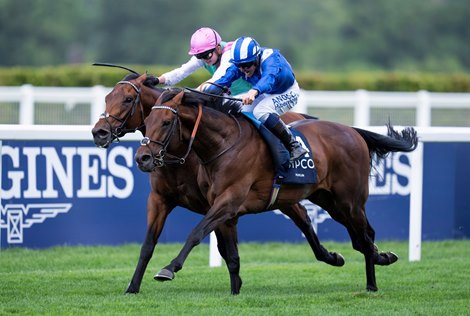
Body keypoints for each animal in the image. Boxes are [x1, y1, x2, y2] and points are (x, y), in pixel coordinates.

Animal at [92, 73, 344, 296]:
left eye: (127, 99)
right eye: (107, 97)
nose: (98, 132)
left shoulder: (219, 202)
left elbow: (212, 240)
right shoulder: (160, 199)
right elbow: (148, 245)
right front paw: (132, 287)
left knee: (304, 219)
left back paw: (331, 257)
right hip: (283, 197)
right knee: (302, 216)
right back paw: (330, 256)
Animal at [136, 87, 418, 292]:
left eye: (166, 121)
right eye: (147, 119)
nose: (142, 158)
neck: (223, 145)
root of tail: (352, 130)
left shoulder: (228, 201)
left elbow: (196, 233)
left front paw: (169, 268)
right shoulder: (223, 209)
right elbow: (231, 255)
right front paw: (235, 291)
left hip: (350, 201)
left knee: (365, 237)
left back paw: (372, 284)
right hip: (329, 201)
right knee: (362, 236)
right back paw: (379, 258)